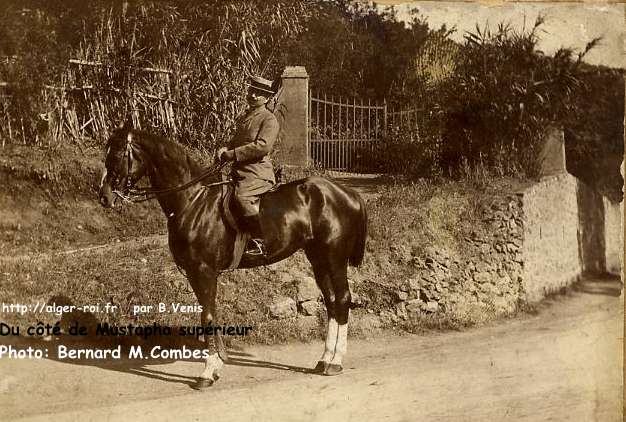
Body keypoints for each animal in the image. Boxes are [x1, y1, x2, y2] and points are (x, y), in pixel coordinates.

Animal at [97, 121, 366, 390]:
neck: (193, 201)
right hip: (318, 258)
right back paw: (324, 359)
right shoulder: (195, 274)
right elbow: (210, 313)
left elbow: (207, 316)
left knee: (343, 298)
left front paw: (207, 372)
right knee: (331, 301)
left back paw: (336, 361)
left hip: (335, 258)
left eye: (117, 154)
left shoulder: (204, 271)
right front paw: (217, 365)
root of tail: (347, 192)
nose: (104, 197)